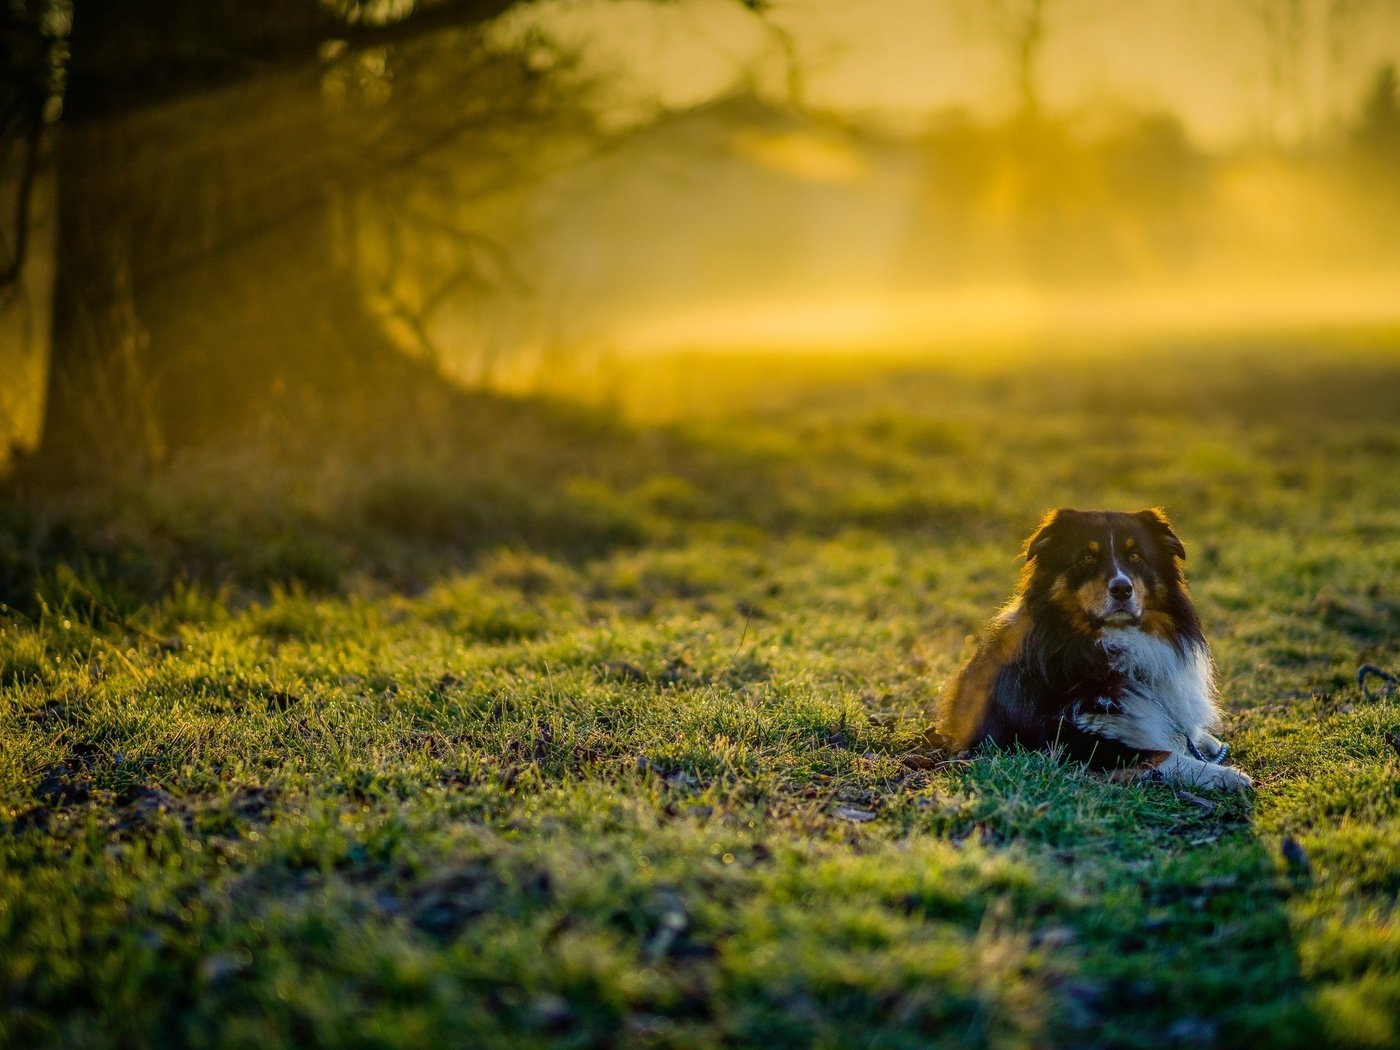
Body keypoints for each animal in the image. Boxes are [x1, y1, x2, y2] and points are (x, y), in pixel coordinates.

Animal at [946, 506, 1254, 795]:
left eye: (1136, 556)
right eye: (1087, 557)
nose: (1122, 589)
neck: (1112, 647)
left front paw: (1210, 746)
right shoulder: (1067, 740)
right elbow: (1162, 754)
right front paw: (1225, 775)